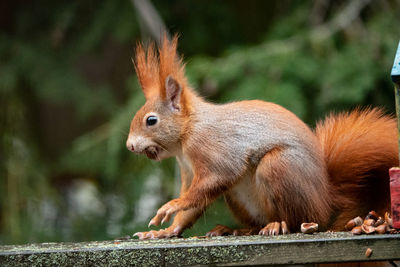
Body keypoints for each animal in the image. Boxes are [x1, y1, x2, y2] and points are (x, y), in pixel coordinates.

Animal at [126, 34, 398, 240]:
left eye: (151, 120)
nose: (129, 146)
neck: (187, 132)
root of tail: (327, 198)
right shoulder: (188, 169)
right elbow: (193, 207)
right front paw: (166, 230)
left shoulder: (211, 148)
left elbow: (215, 179)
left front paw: (171, 205)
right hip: (239, 196)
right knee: (255, 223)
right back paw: (236, 229)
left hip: (280, 167)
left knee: (301, 219)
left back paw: (279, 224)